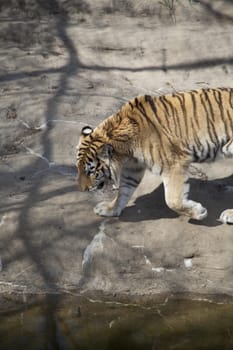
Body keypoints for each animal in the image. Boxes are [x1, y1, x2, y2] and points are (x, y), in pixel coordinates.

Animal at [76, 87, 233, 224]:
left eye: (91, 171)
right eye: (78, 169)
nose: (82, 189)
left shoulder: (174, 164)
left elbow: (173, 200)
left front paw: (199, 212)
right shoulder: (132, 168)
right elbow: (123, 191)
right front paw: (110, 209)